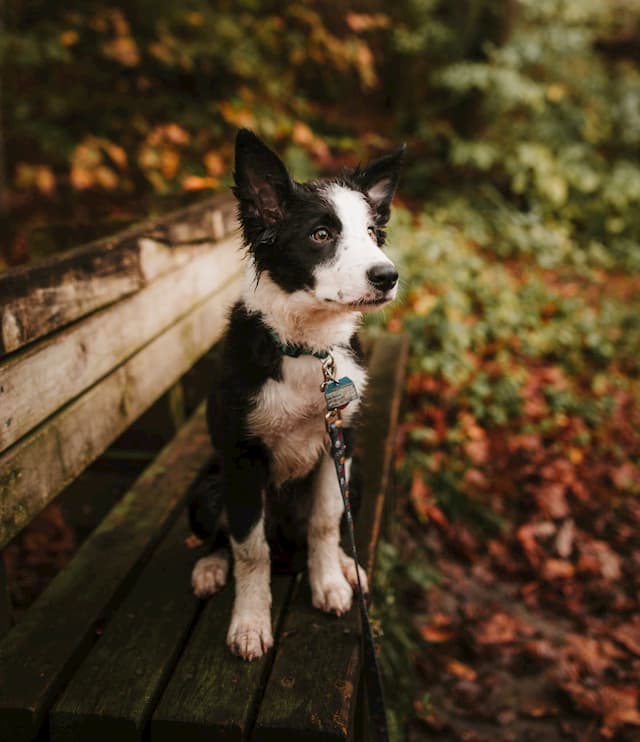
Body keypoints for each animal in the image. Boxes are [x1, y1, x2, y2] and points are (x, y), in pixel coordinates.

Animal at [189, 129, 404, 664]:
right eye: (321, 235)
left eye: (373, 232)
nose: (387, 276)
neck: (309, 350)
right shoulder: (241, 460)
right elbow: (249, 548)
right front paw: (249, 623)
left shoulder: (337, 444)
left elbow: (326, 521)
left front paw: (329, 583)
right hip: (206, 487)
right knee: (222, 536)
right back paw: (209, 567)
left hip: (358, 474)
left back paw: (347, 566)